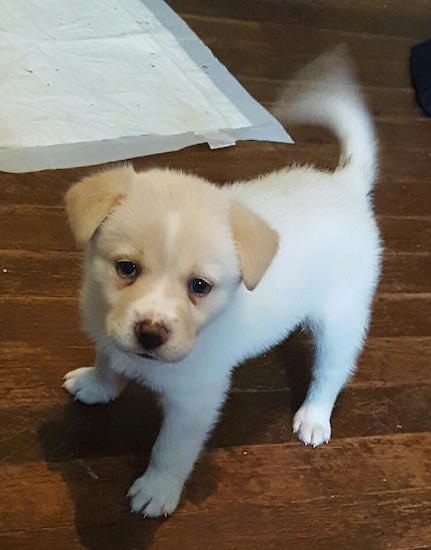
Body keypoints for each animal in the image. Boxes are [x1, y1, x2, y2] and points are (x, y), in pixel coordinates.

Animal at [61, 49, 382, 520]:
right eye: (126, 268)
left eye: (200, 285)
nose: (150, 334)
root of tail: (346, 185)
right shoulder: (107, 329)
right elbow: (108, 359)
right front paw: (98, 385)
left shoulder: (195, 401)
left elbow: (171, 450)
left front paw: (157, 489)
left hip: (342, 317)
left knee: (332, 369)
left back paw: (314, 416)